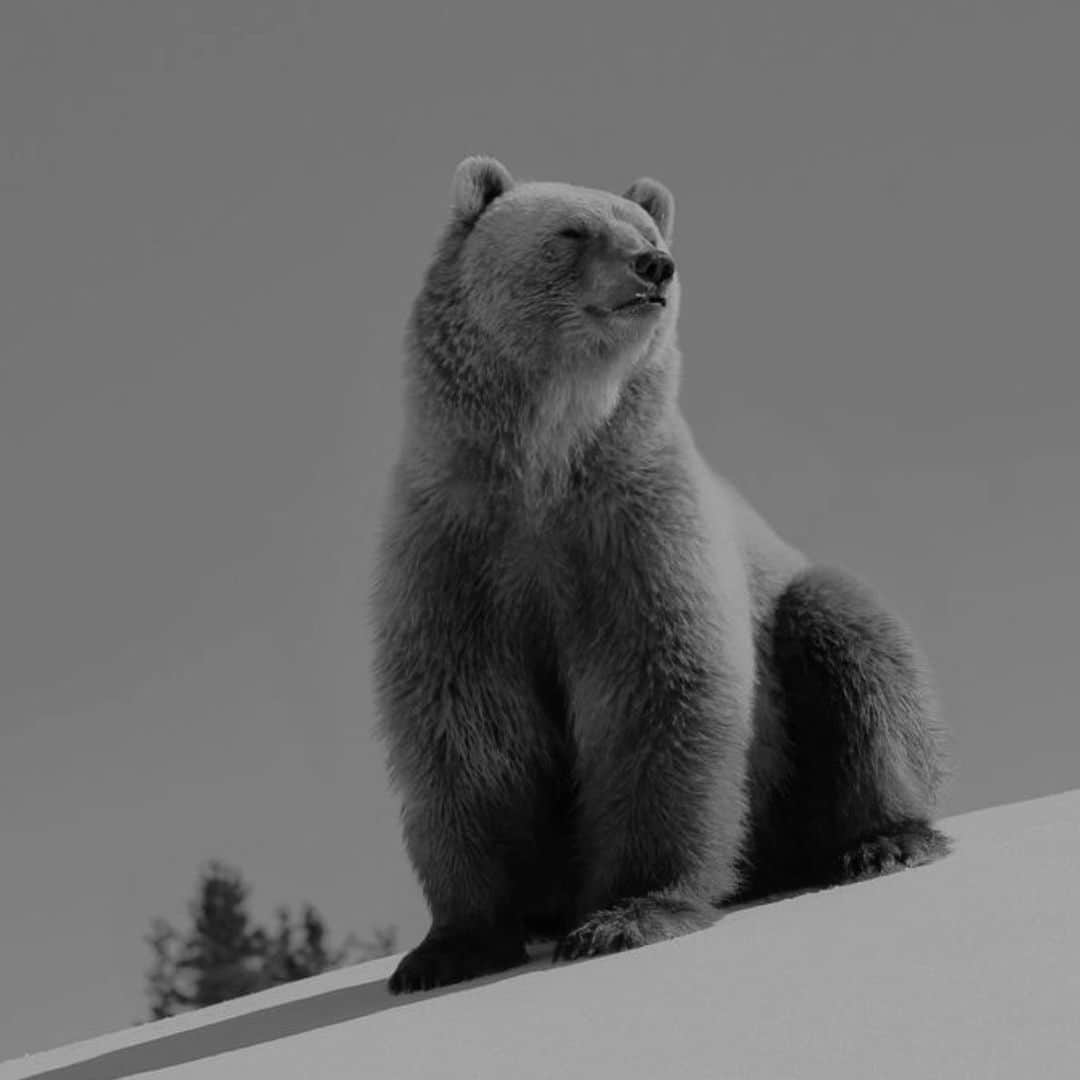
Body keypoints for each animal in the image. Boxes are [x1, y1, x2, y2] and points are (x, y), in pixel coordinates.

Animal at [371, 155, 949, 994]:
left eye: (646, 228)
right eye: (572, 229)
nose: (655, 266)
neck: (546, 460)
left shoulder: (639, 529)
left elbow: (660, 690)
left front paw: (629, 914)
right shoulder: (456, 548)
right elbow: (465, 723)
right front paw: (451, 948)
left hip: (795, 630)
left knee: (850, 640)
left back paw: (884, 840)